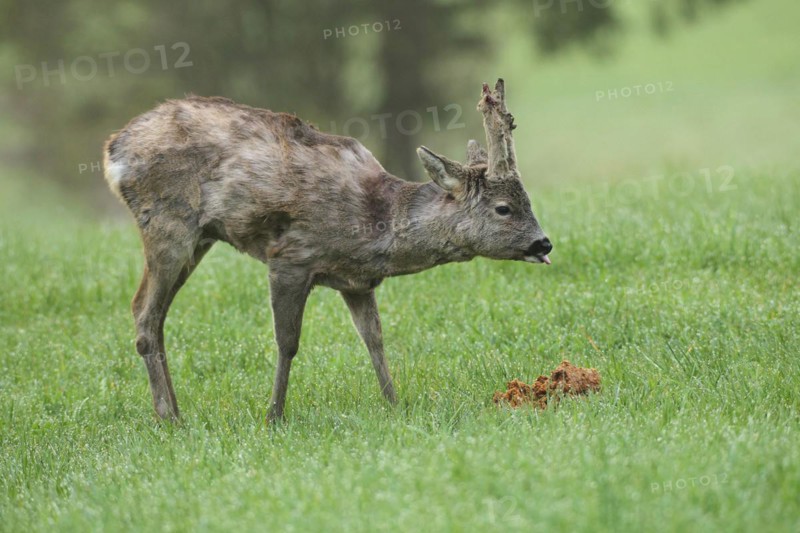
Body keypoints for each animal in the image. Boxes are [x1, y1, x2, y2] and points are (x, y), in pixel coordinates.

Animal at [103, 79, 552, 422]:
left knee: (153, 313)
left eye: (528, 199)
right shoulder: (291, 257)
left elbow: (375, 340)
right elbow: (288, 342)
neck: (376, 222)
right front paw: (274, 416)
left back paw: (175, 411)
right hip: (168, 223)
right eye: (504, 207)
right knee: (144, 312)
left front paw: (395, 404)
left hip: (199, 237)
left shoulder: (357, 282)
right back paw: (169, 417)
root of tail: (113, 151)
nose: (544, 243)